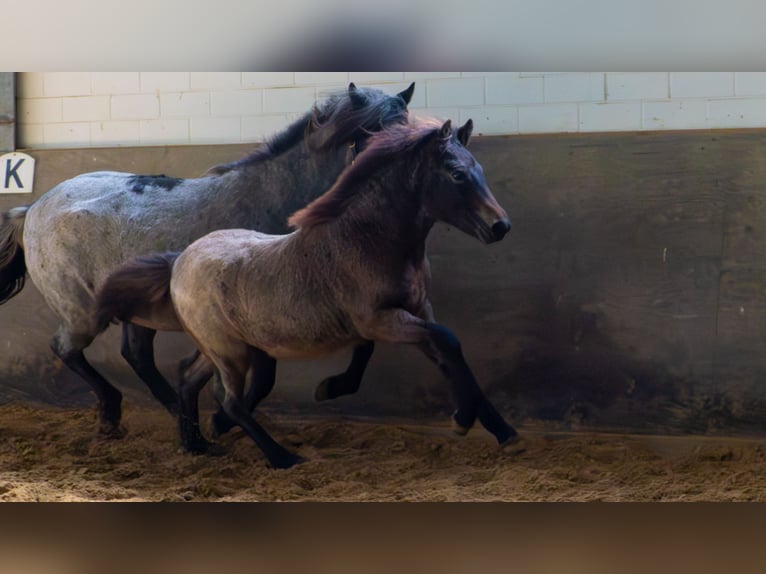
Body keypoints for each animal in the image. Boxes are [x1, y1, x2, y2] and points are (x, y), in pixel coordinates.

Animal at [0, 81, 415, 436]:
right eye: (372, 134)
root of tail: (33, 208)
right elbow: (264, 378)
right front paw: (223, 421)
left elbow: (365, 342)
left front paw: (332, 387)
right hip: (82, 311)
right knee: (66, 349)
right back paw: (113, 414)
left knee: (136, 356)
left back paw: (174, 411)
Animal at [94, 118, 519, 469]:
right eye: (457, 174)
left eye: (478, 170)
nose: (500, 226)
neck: (370, 241)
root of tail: (179, 260)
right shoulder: (382, 320)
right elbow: (445, 342)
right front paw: (463, 420)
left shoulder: (417, 310)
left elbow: (447, 354)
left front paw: (503, 431)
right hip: (229, 351)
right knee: (230, 400)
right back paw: (282, 457)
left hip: (223, 346)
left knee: (188, 377)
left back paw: (197, 445)